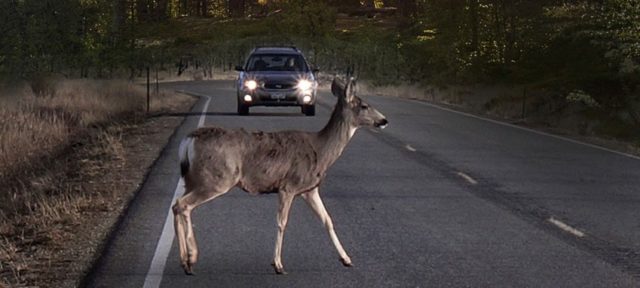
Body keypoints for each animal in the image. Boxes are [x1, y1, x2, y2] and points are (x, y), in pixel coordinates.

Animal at [172, 76, 388, 274]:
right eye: (364, 106)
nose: (384, 120)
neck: (321, 150)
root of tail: (188, 140)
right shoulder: (289, 185)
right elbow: (282, 222)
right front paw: (278, 264)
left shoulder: (310, 190)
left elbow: (327, 220)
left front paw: (346, 259)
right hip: (217, 178)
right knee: (183, 205)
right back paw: (190, 259)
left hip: (192, 179)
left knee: (176, 205)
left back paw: (185, 260)